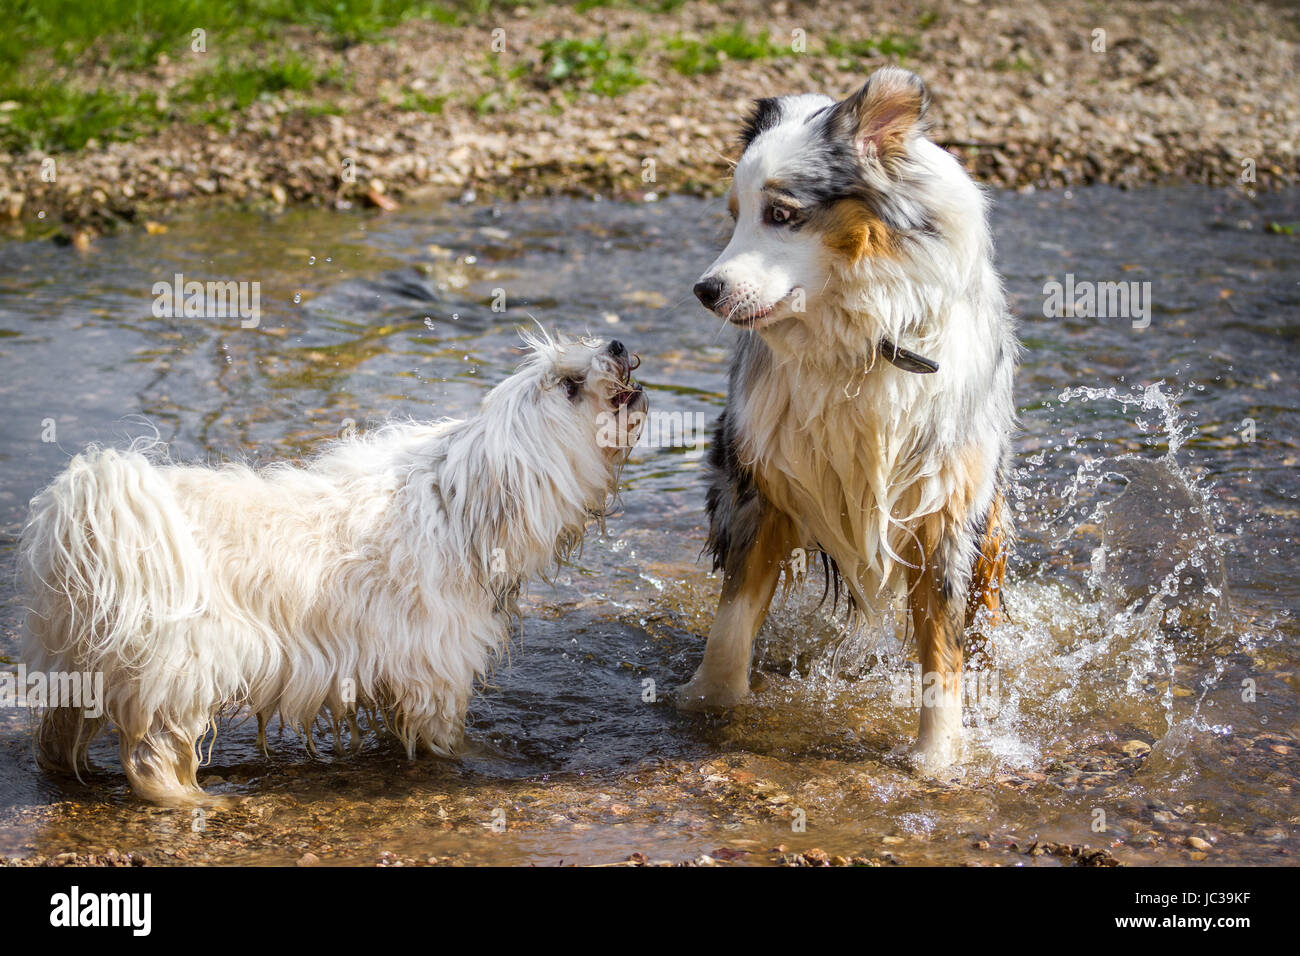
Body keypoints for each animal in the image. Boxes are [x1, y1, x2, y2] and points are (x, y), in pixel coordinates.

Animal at [17, 332, 647, 806]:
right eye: (568, 386)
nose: (618, 343)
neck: (460, 502)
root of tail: (83, 514)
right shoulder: (437, 671)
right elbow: (446, 734)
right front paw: (480, 760)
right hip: (175, 671)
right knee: (153, 754)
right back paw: (193, 798)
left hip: (72, 663)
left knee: (56, 734)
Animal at [681, 65, 1013, 770]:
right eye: (734, 217)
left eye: (781, 215)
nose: (705, 290)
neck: (859, 344)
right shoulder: (760, 486)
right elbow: (730, 628)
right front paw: (703, 707)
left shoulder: (943, 505)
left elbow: (942, 651)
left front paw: (939, 759)